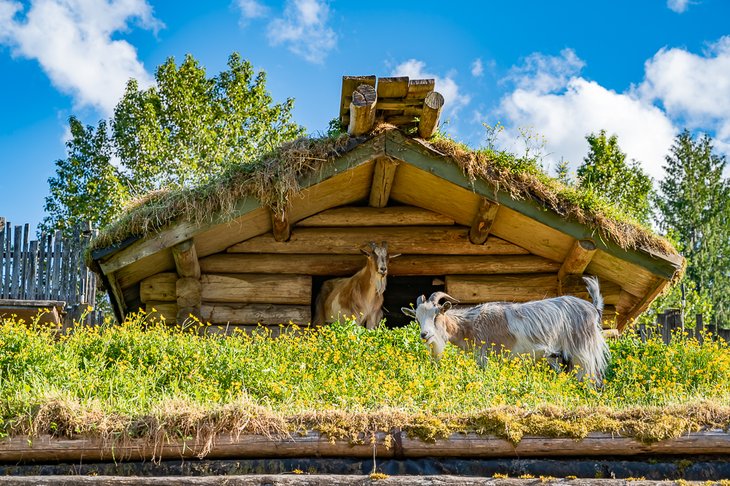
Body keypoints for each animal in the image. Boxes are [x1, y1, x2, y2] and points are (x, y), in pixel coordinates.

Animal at [400, 278, 604, 384]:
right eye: (417, 318)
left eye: (436, 315)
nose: (425, 335)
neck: (471, 324)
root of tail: (593, 308)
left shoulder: (490, 356)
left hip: (582, 353)